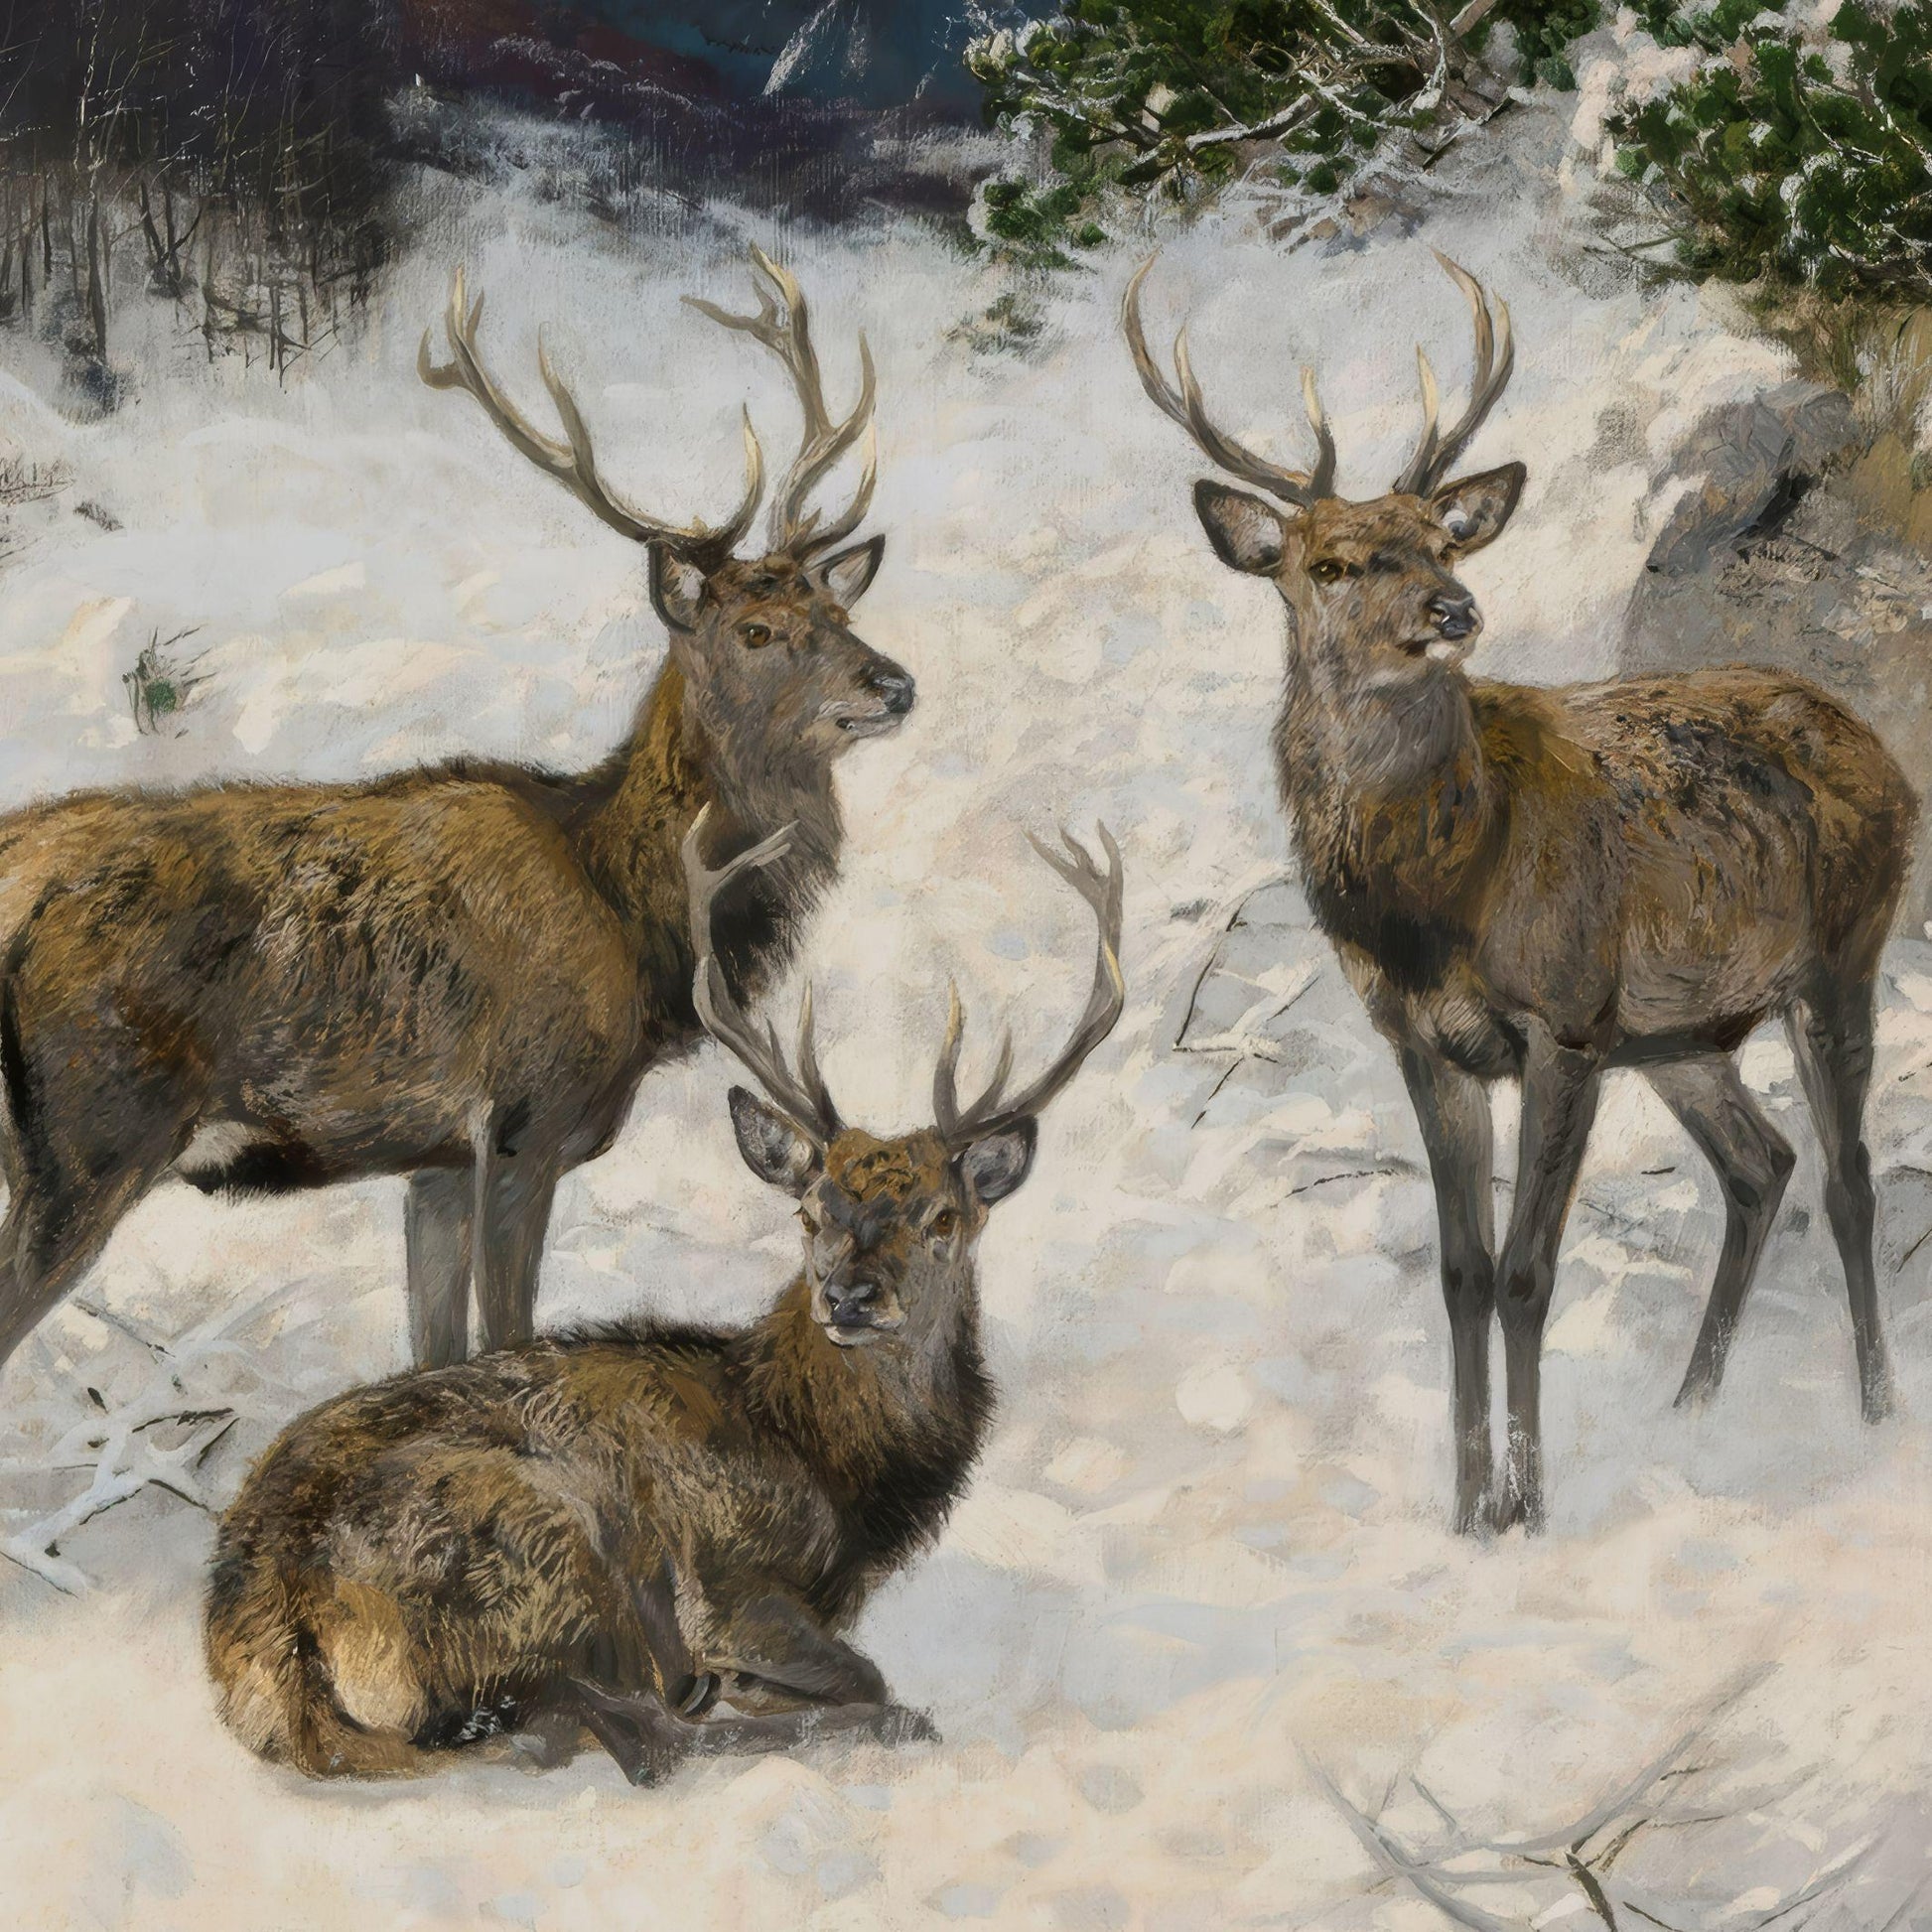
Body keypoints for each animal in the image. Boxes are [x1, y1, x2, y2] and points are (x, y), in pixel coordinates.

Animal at [0, 246, 915, 1379]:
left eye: (837, 610)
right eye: (755, 628)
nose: (894, 684)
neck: (635, 920)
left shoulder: (431, 1158)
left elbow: (432, 1351)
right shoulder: (528, 1119)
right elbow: (507, 1335)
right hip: (90, 1131)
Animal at [203, 811, 1125, 1782]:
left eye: (943, 1217)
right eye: (810, 1210)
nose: (850, 1297)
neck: (828, 1463)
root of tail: (273, 1630)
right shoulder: (728, 1581)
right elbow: (859, 1672)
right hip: (543, 1541)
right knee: (630, 1733)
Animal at [1126, 251, 1918, 1535]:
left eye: (1442, 545)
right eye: (1326, 563)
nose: (1452, 611)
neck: (1438, 895)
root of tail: (1876, 745)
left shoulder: (1564, 1018)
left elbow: (1526, 1272)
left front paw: (1529, 1507)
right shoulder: (1425, 1040)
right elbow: (1459, 1273)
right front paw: (1462, 1513)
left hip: (1842, 950)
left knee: (1848, 1179)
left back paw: (1874, 1410)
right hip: (1680, 1032)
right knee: (1760, 1166)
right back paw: (1687, 1406)